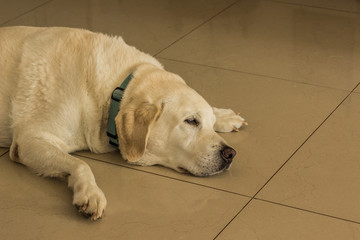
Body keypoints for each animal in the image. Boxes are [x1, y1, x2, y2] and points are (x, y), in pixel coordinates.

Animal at [0, 26, 248, 219]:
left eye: (208, 123)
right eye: (191, 121)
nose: (230, 154)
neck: (114, 90)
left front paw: (223, 115)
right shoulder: (30, 139)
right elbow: (80, 164)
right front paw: (90, 193)